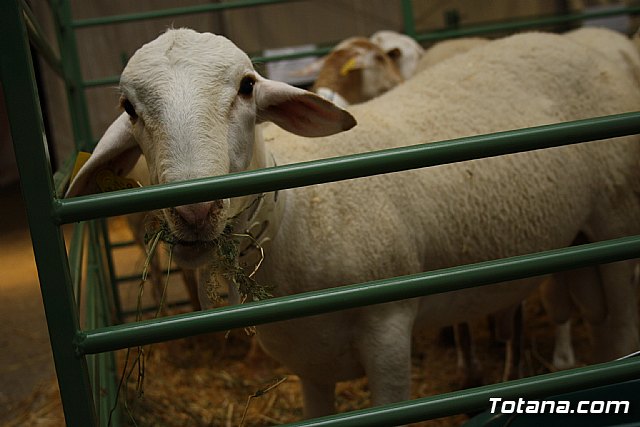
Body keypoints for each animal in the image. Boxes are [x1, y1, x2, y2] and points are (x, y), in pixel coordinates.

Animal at [66, 28, 640, 420]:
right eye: (128, 106)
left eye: (247, 87)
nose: (192, 212)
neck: (300, 216)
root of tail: (573, 39)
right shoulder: (308, 365)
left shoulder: (389, 331)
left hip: (618, 223)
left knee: (620, 324)